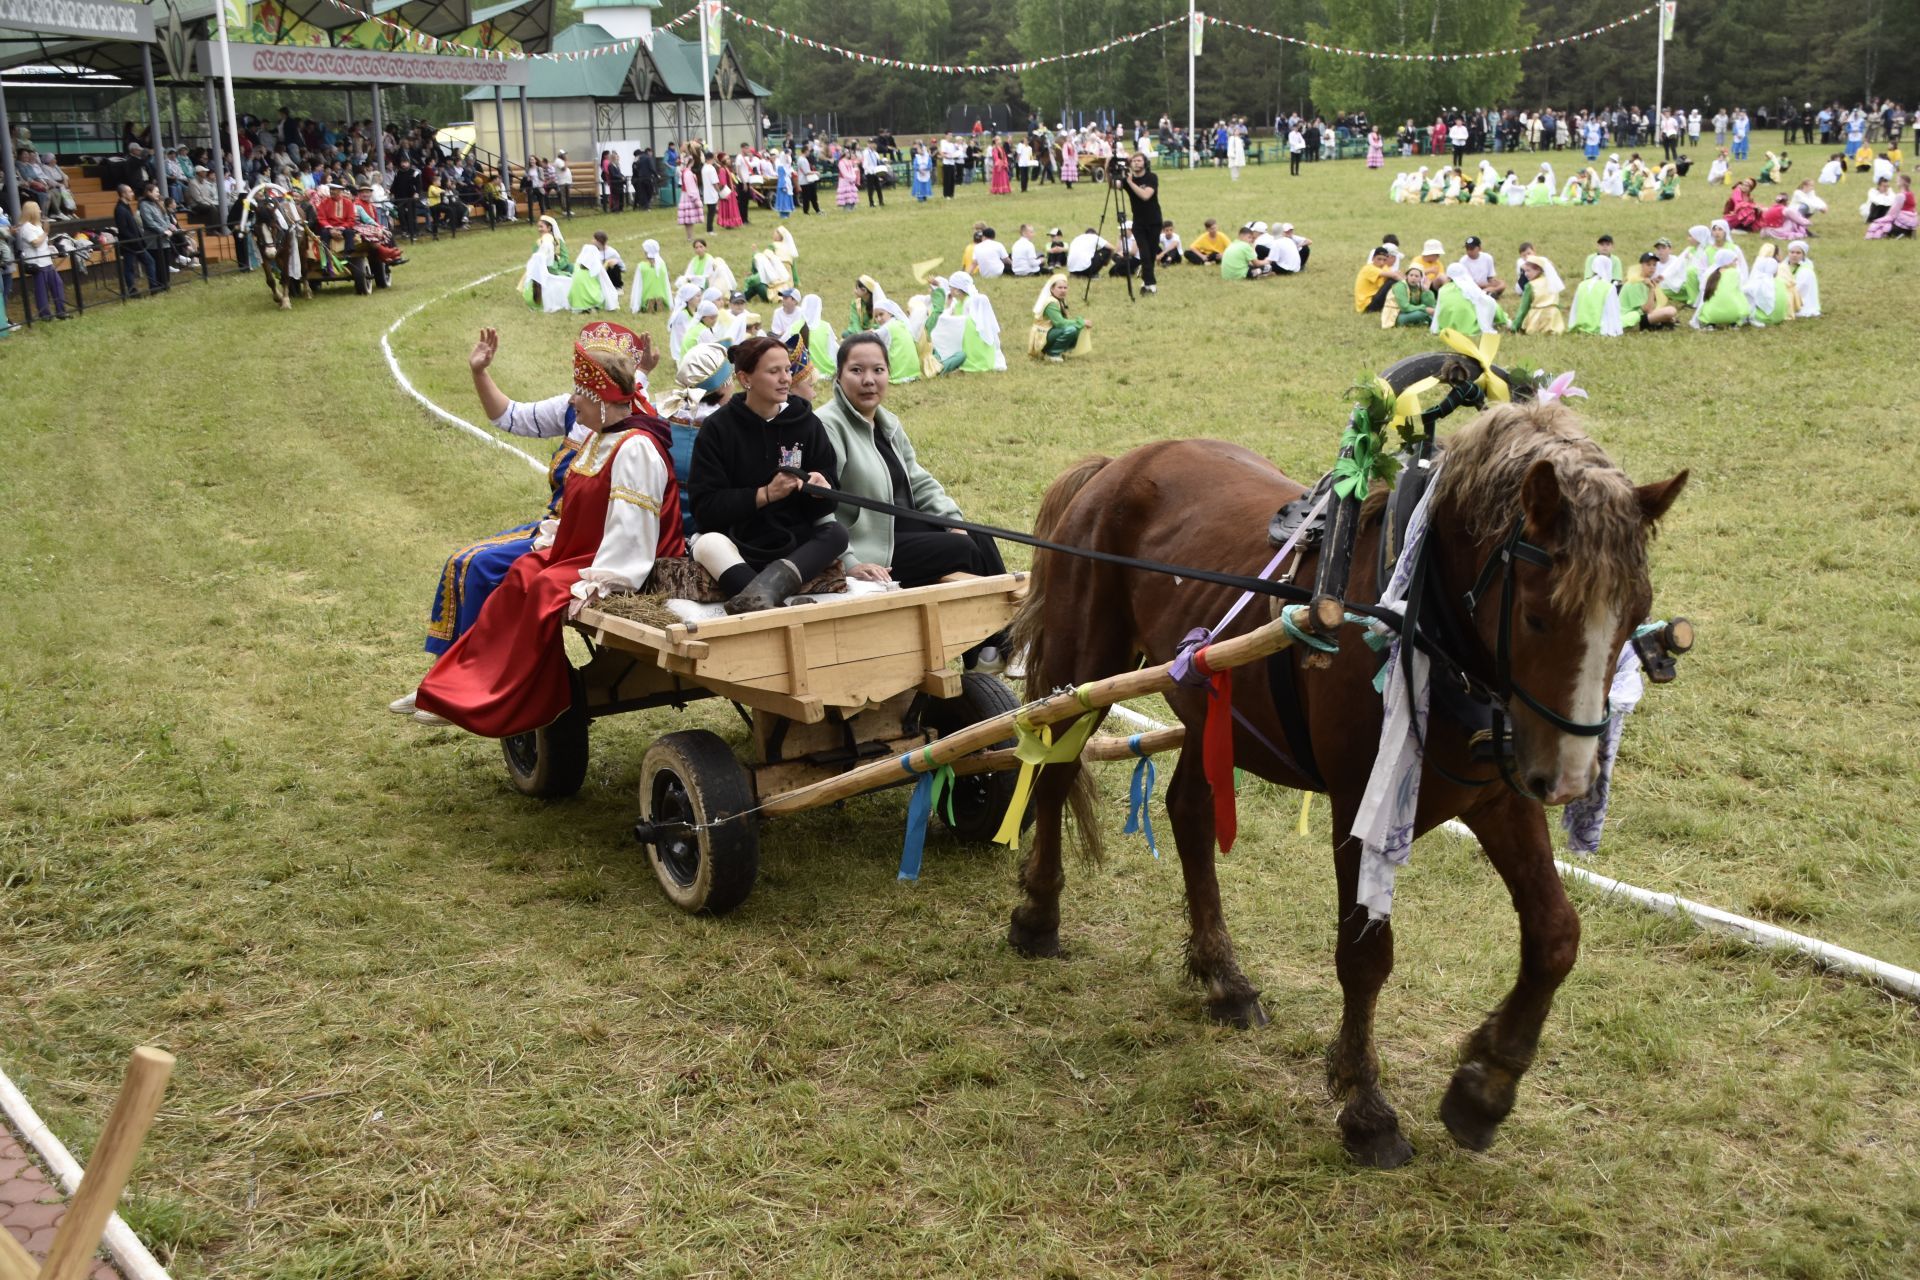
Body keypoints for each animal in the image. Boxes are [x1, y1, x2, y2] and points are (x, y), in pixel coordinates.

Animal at [1006, 402, 1681, 1174]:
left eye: (1634, 612)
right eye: (1539, 614)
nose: (1568, 781)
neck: (1421, 619)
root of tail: (1116, 465)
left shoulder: (1500, 799)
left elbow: (1556, 935)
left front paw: (1486, 1085)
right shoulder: (1362, 813)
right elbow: (1364, 960)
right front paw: (1366, 1107)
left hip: (1212, 707)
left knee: (1190, 814)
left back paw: (1222, 976)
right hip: (1087, 666)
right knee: (1055, 777)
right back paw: (1039, 917)